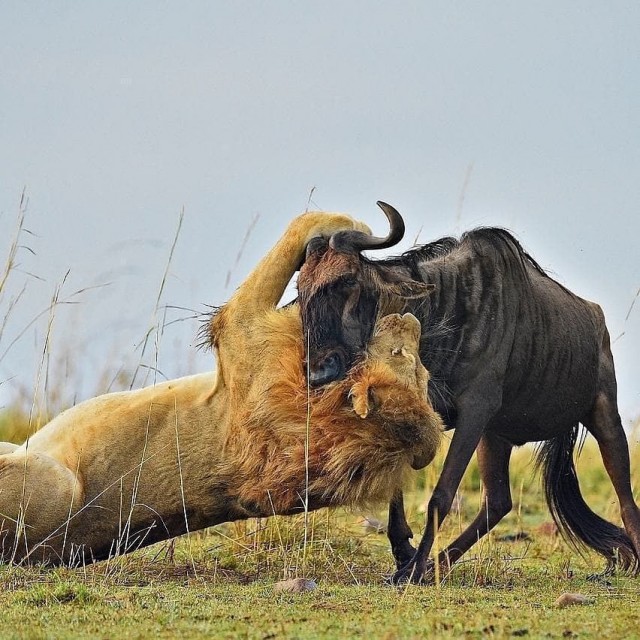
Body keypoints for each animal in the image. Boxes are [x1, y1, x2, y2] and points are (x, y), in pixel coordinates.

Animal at [0, 214, 440, 564]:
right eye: (418, 371)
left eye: (402, 355)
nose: (409, 321)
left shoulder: (240, 327)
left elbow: (309, 218)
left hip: (55, 480)